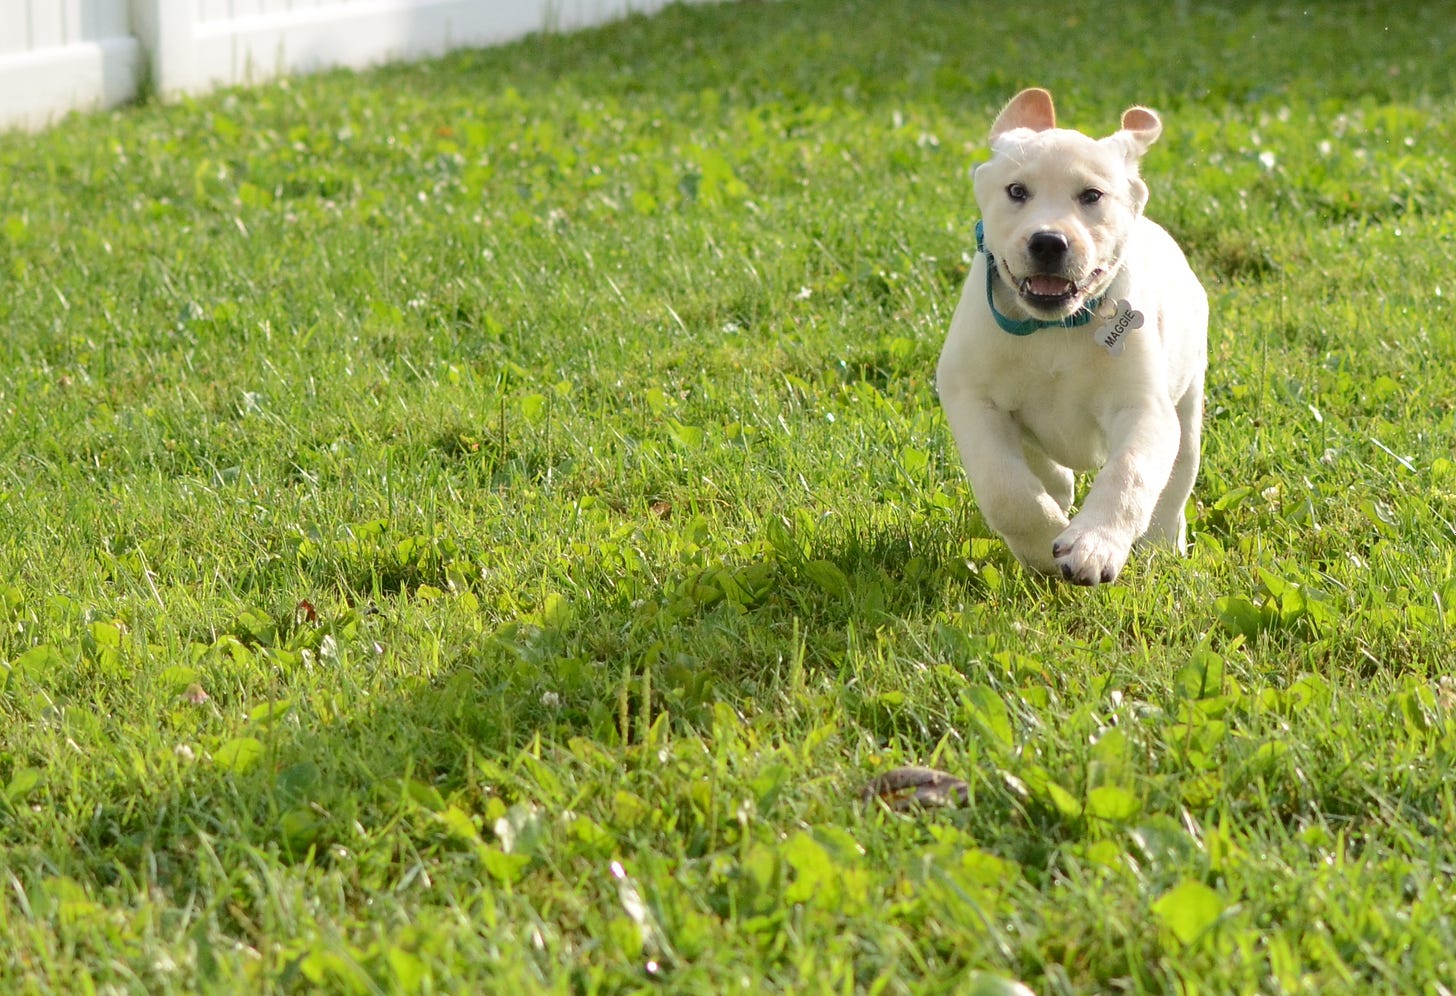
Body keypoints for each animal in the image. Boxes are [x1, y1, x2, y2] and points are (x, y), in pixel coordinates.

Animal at [937, 90, 1211, 588]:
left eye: (1091, 196)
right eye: (1017, 191)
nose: (1048, 242)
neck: (1052, 328)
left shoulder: (1143, 408)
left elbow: (1129, 473)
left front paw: (1092, 545)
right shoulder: (971, 397)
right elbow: (1004, 488)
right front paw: (1042, 544)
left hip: (1188, 400)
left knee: (1177, 479)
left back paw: (1163, 545)